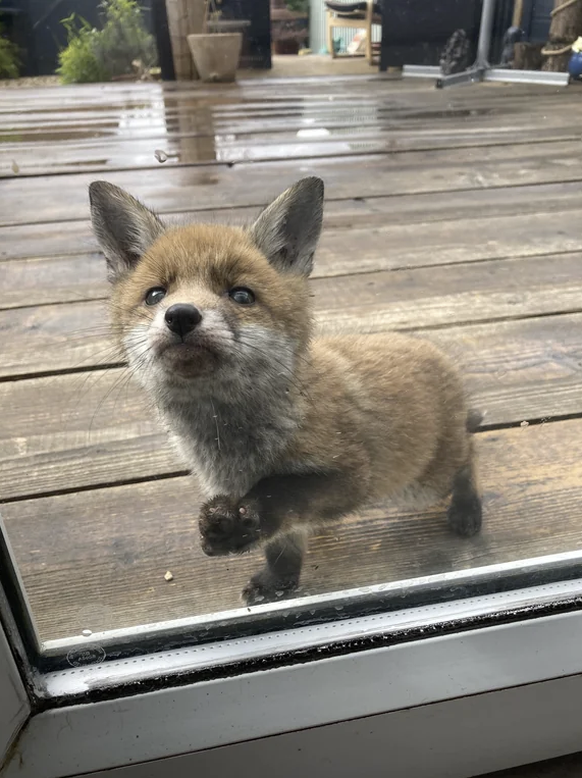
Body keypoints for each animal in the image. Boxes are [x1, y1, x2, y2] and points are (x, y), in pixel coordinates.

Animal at [89, 176, 482, 606]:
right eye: (156, 294)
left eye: (241, 295)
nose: (181, 315)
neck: (230, 444)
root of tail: (436, 353)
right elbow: (281, 545)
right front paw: (279, 581)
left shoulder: (352, 475)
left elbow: (280, 494)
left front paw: (237, 529)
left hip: (417, 486)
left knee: (467, 460)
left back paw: (468, 509)